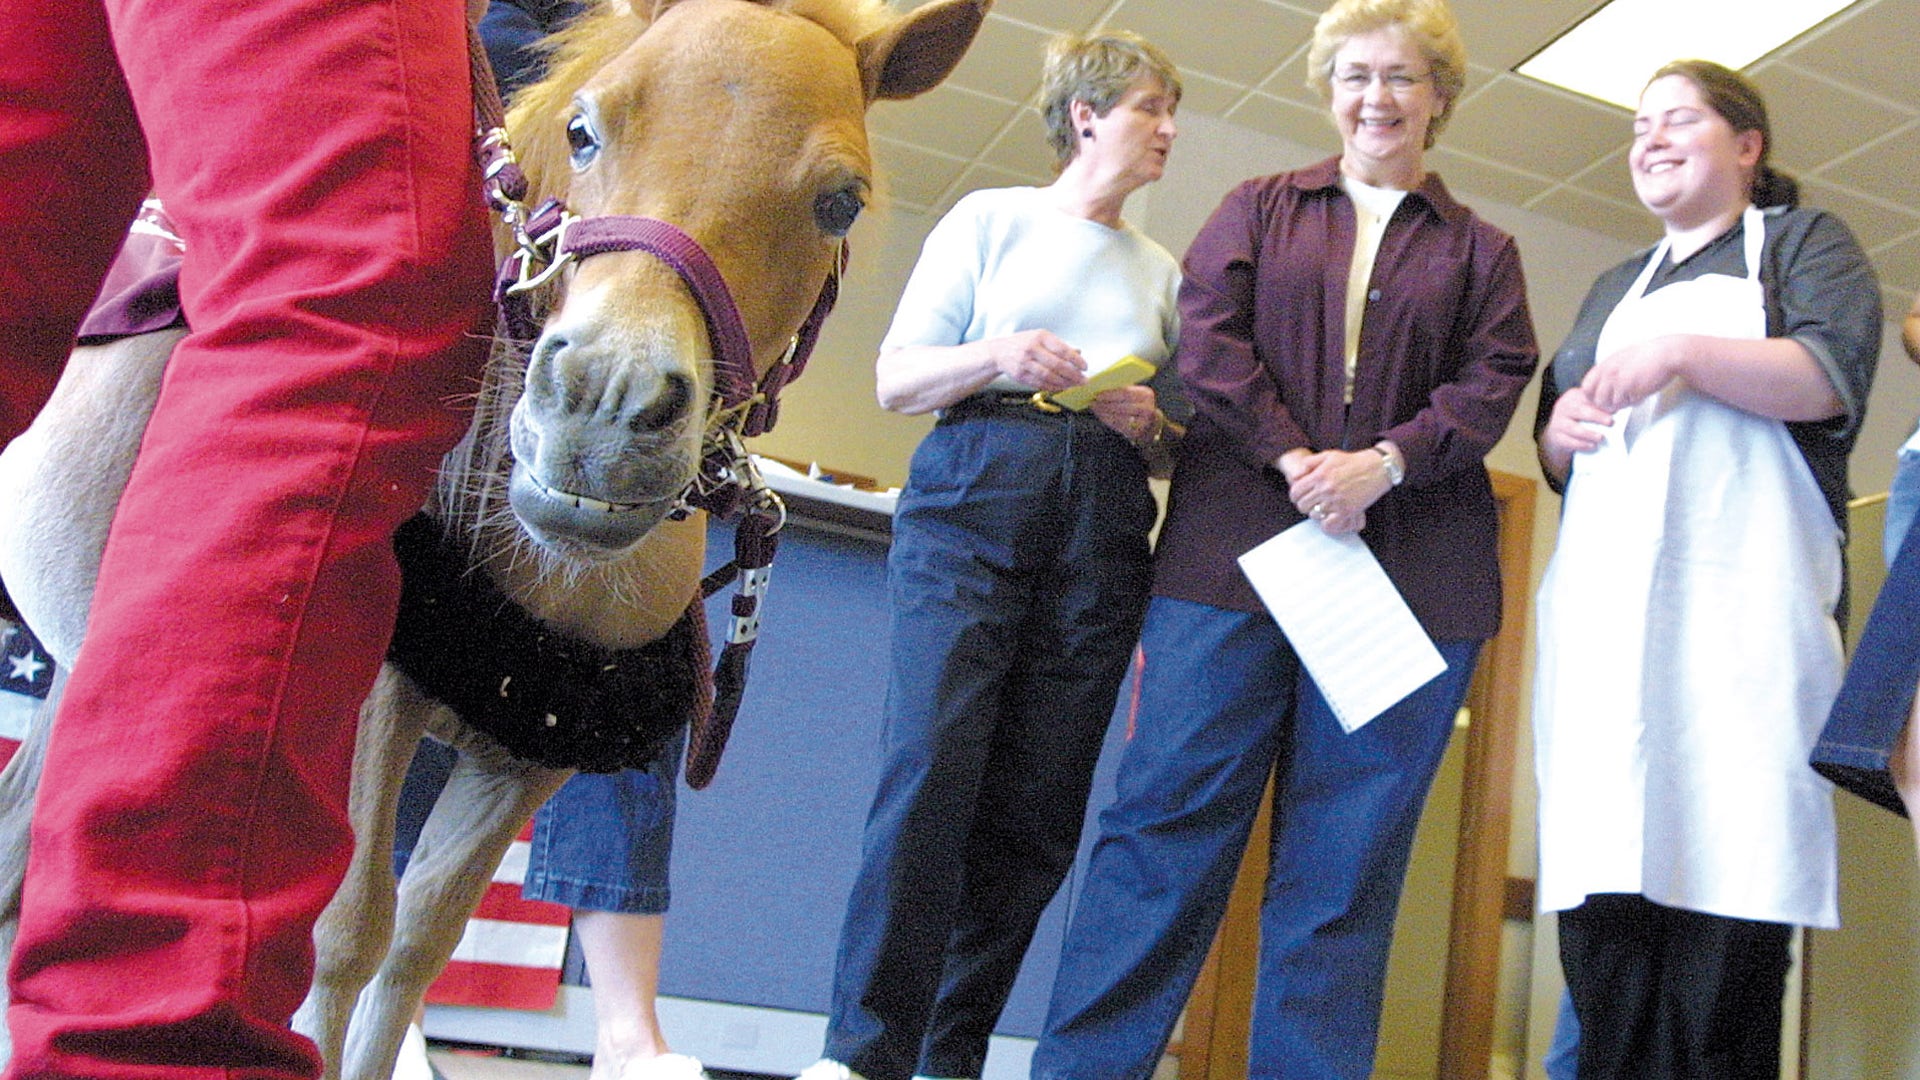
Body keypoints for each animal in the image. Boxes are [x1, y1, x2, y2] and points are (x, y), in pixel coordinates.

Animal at [0, 0, 986, 1077]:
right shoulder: (374, 700)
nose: (604, 409)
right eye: (585, 130)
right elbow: (347, 935)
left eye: (841, 202)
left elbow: (416, 947)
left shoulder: (531, 750)